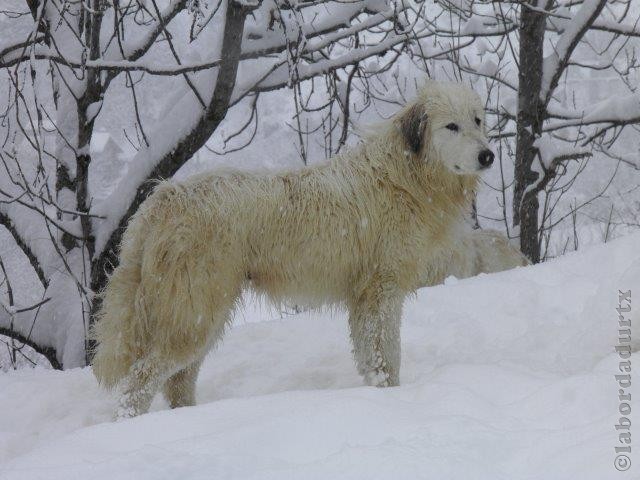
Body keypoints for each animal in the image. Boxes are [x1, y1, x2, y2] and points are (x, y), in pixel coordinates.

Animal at [91, 80, 520, 418]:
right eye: (452, 126)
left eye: (478, 120)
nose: (487, 155)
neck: (405, 177)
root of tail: (162, 197)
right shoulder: (380, 291)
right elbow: (386, 354)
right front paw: (390, 398)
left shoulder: (367, 297)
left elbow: (373, 354)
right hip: (195, 309)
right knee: (141, 380)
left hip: (199, 314)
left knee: (177, 380)